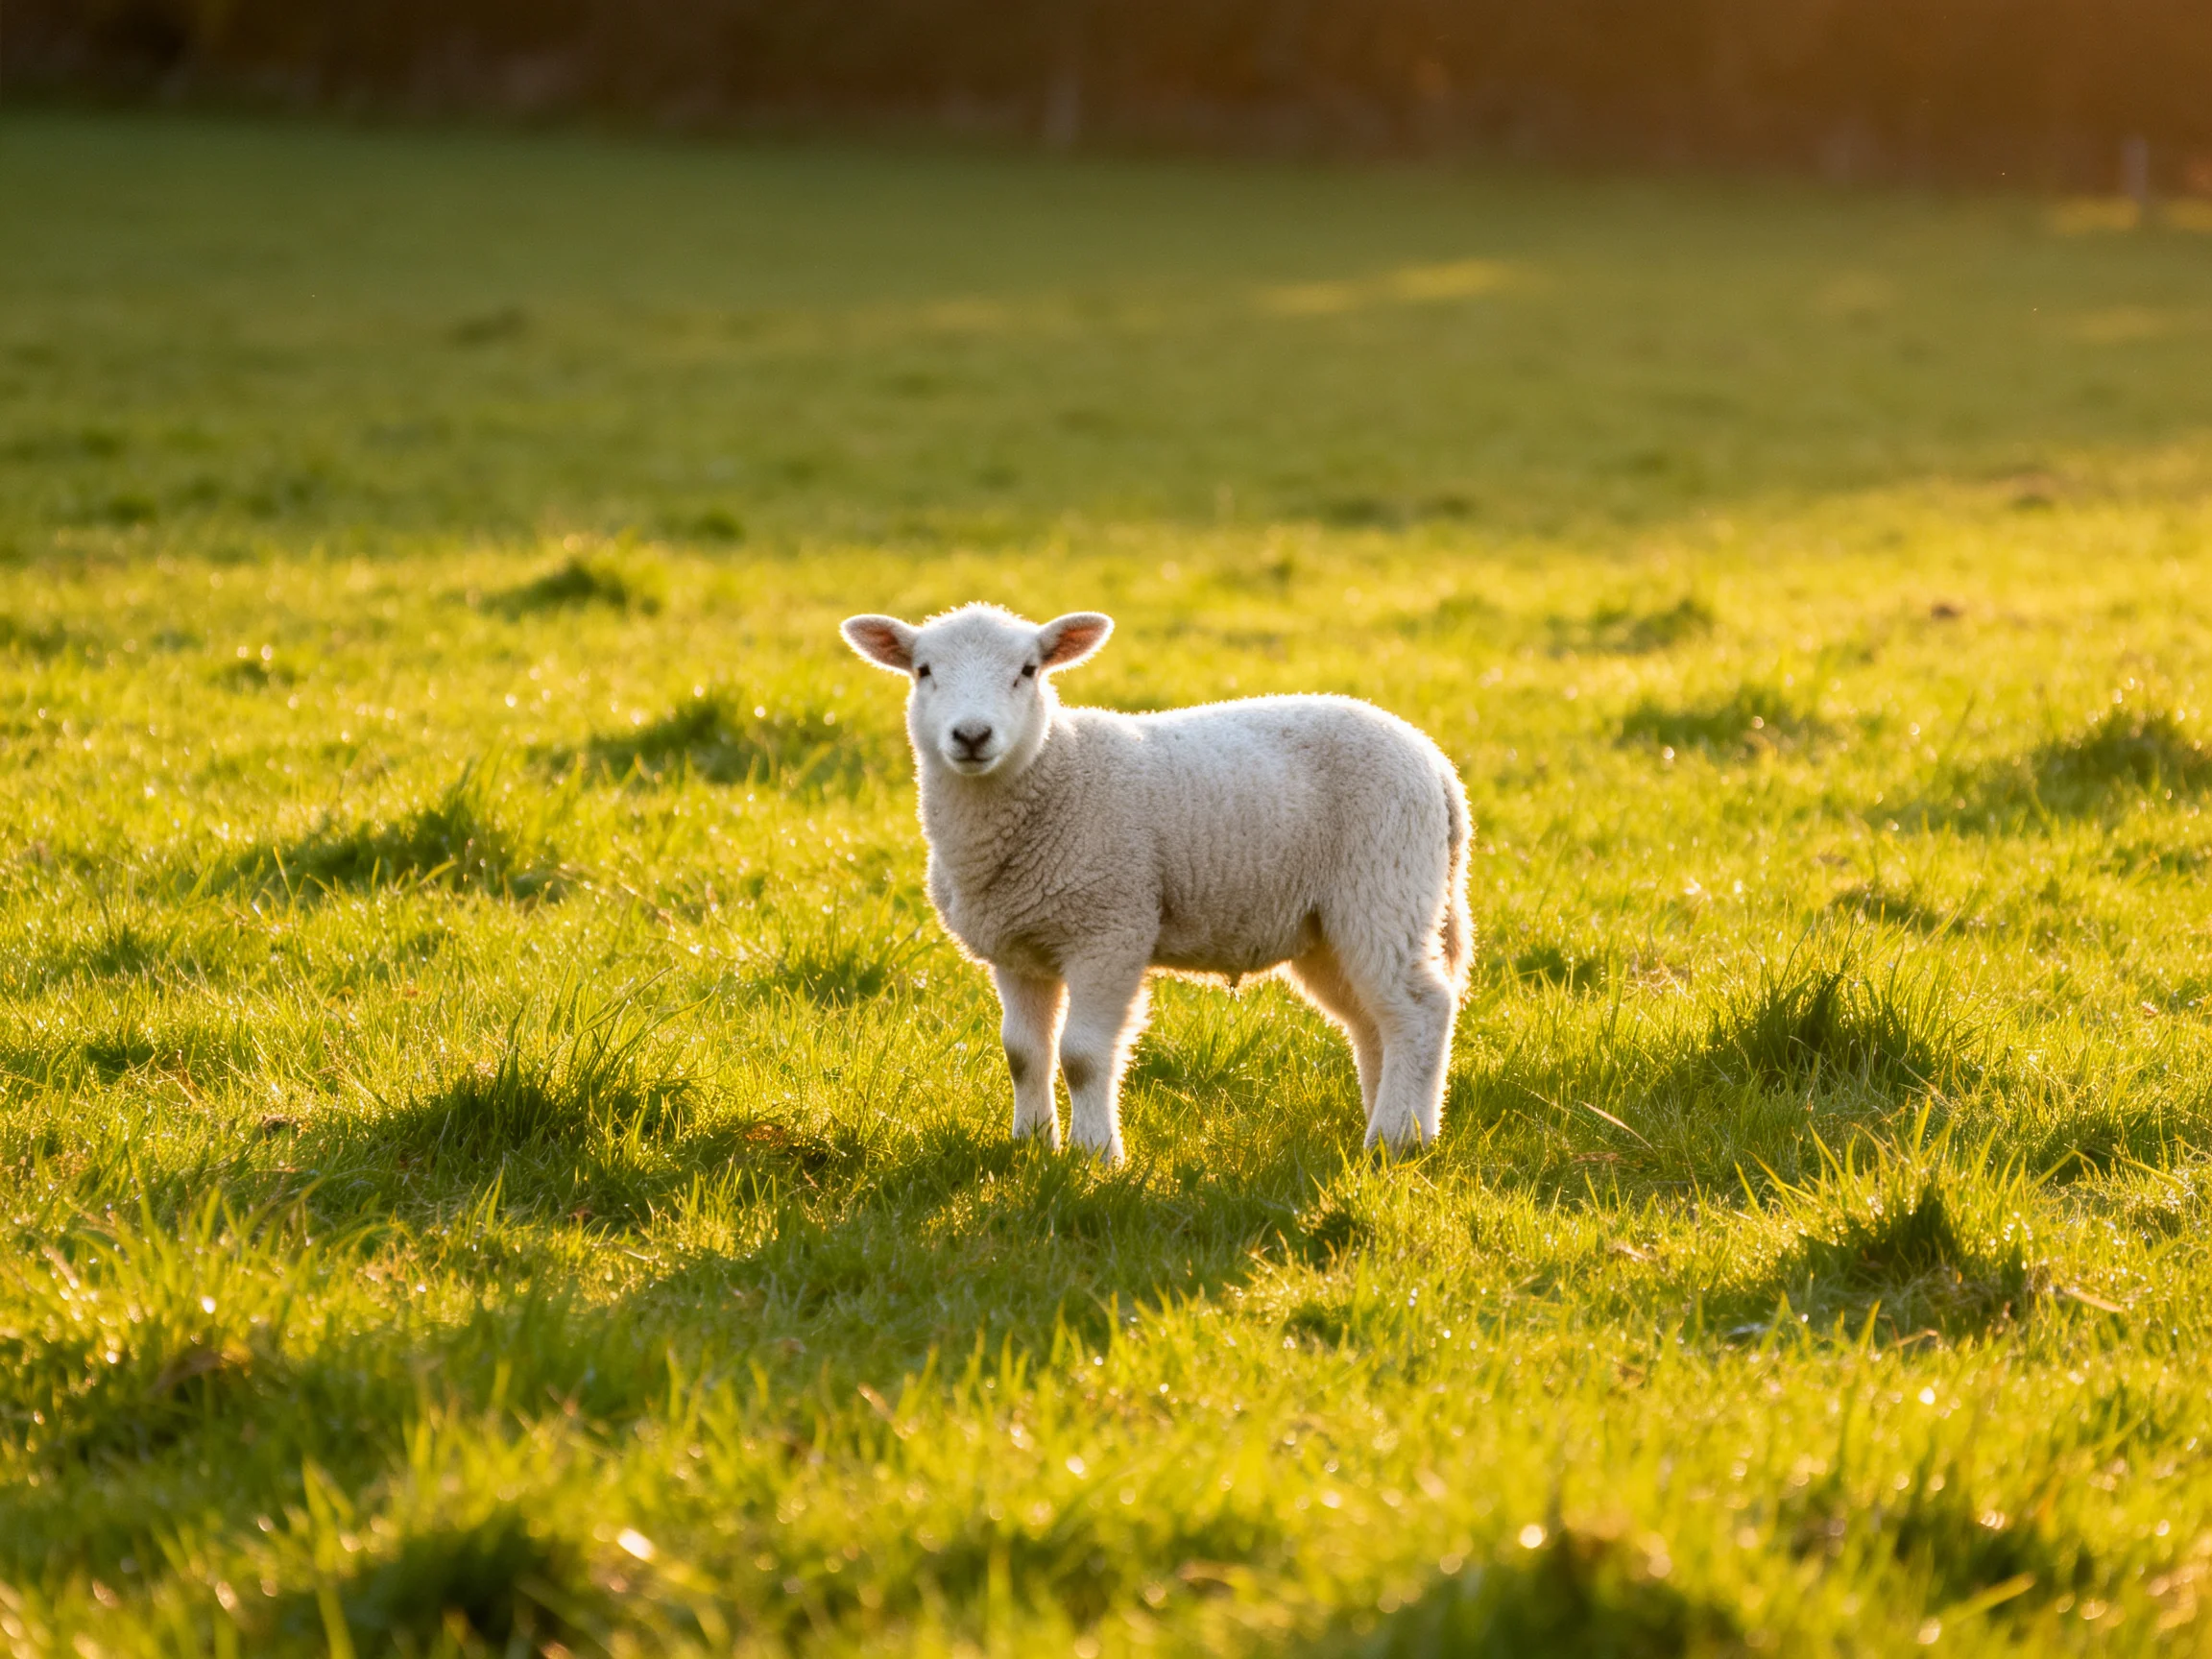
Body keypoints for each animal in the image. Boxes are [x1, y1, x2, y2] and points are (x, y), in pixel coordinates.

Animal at [840, 603, 1471, 1163]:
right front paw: (1031, 1145)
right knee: (1374, 1021)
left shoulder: (1110, 928)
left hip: (1385, 884)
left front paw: (1094, 1155)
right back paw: (1392, 1125)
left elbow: (1082, 1056)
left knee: (1420, 1009)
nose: (972, 736)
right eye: (924, 670)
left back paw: (1397, 1140)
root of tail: (1438, 766)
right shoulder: (1017, 948)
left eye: (1028, 670)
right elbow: (1023, 1053)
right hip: (1329, 926)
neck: (1056, 771)